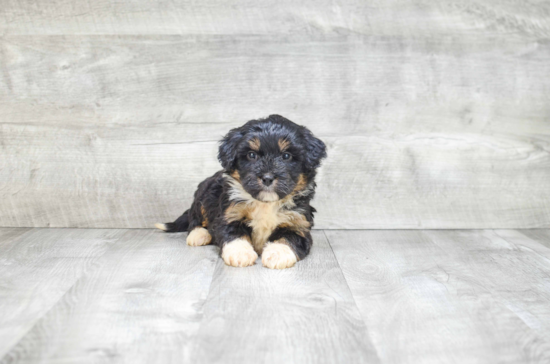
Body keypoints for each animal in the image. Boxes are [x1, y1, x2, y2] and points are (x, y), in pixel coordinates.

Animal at [155, 115, 328, 268]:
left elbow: (289, 238)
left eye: (286, 156)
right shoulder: (229, 214)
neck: (265, 203)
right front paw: (240, 254)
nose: (267, 178)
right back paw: (199, 235)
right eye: (251, 155)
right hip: (205, 194)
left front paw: (277, 254)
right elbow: (234, 234)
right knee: (195, 219)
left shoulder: (298, 222)